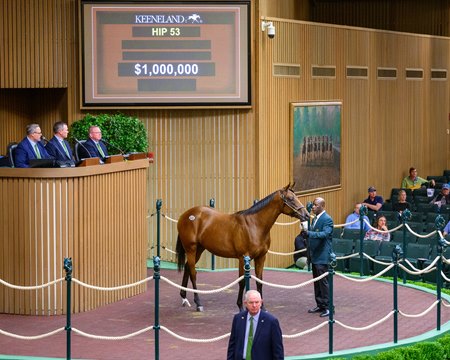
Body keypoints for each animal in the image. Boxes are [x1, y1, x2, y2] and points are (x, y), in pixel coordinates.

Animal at [176, 184, 310, 310]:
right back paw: (198, 303)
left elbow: (259, 282)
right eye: (291, 198)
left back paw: (184, 297)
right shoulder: (243, 258)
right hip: (191, 249)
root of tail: (186, 215)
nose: (307, 215)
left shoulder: (261, 257)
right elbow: (242, 282)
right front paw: (240, 306)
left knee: (187, 267)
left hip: (199, 249)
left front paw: (262, 307)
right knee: (193, 273)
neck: (255, 225)